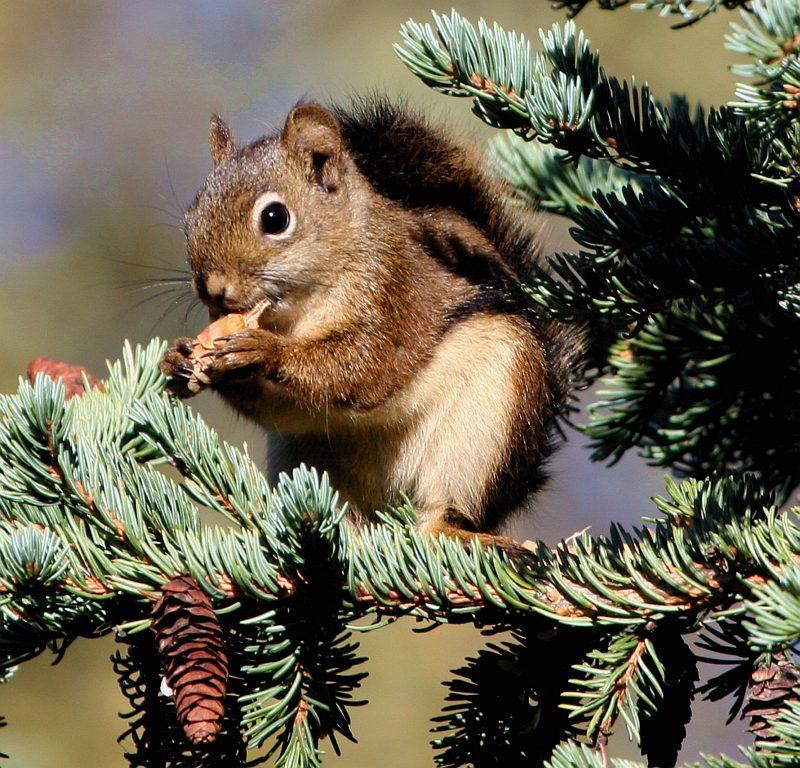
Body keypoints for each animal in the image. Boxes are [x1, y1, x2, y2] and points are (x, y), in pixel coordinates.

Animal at [161, 96, 582, 540]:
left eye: (275, 218)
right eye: (192, 214)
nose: (211, 289)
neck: (298, 313)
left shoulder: (394, 293)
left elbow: (364, 364)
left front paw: (265, 352)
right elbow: (279, 407)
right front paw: (179, 359)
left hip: (489, 421)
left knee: (447, 513)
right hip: (303, 454)